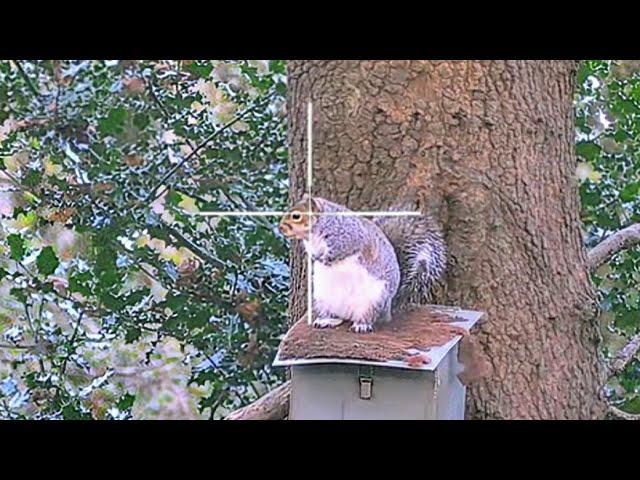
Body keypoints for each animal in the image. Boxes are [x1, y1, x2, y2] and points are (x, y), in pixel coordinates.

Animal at [280, 195, 444, 334]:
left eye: (296, 216)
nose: (280, 228)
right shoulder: (312, 245)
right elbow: (313, 252)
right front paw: (316, 258)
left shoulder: (347, 238)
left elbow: (339, 251)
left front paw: (325, 260)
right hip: (322, 299)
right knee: (337, 316)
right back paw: (327, 320)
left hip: (373, 301)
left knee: (366, 316)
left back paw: (361, 325)